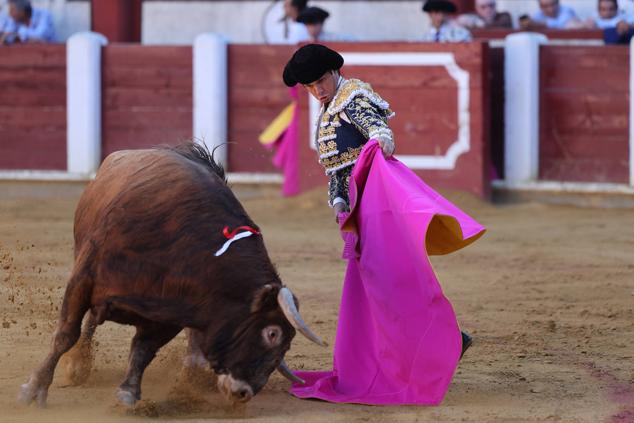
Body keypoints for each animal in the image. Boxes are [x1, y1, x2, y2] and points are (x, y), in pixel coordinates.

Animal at [17, 142, 324, 408]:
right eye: (272, 333)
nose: (243, 393)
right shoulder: (84, 277)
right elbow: (65, 334)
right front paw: (34, 389)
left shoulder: (174, 312)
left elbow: (143, 350)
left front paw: (129, 392)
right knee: (88, 323)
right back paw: (77, 366)